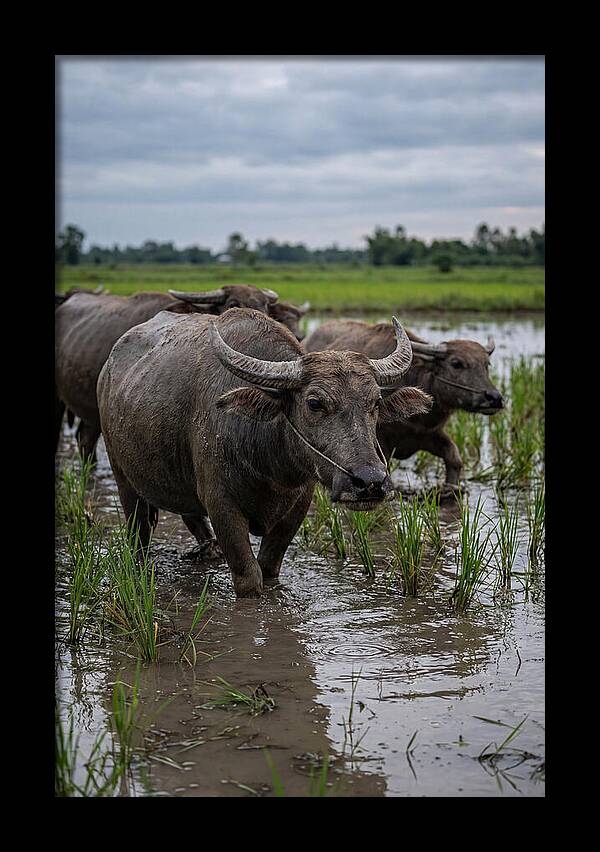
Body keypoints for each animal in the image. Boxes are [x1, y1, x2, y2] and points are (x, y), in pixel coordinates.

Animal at [97, 309, 432, 597]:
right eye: (314, 403)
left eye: (375, 402)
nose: (369, 482)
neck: (270, 464)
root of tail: (108, 370)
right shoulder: (221, 505)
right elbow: (249, 579)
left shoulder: (298, 505)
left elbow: (269, 569)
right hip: (122, 476)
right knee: (138, 533)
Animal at [304, 319, 503, 492]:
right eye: (457, 363)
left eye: (486, 364)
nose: (494, 398)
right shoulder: (380, 445)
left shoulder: (429, 434)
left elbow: (454, 458)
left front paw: (451, 488)